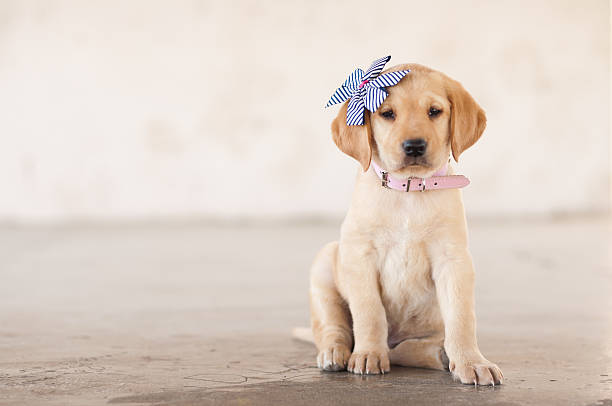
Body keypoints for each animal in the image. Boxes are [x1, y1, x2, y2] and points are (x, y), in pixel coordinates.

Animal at [306, 62, 502, 384]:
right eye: (387, 114)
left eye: (434, 111)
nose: (414, 146)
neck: (408, 190)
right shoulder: (359, 255)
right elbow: (369, 312)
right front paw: (368, 354)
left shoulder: (453, 260)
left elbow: (462, 318)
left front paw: (472, 361)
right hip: (325, 262)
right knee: (334, 327)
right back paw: (336, 352)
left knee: (407, 349)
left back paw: (440, 354)